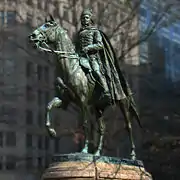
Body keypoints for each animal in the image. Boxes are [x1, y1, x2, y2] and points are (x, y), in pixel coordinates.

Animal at [28, 15, 141, 159]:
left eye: (47, 25)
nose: (32, 36)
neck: (71, 68)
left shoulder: (83, 102)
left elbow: (85, 124)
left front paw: (84, 149)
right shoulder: (64, 100)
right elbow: (48, 106)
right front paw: (52, 132)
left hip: (123, 104)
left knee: (129, 126)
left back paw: (132, 155)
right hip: (98, 107)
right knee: (102, 128)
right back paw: (97, 152)